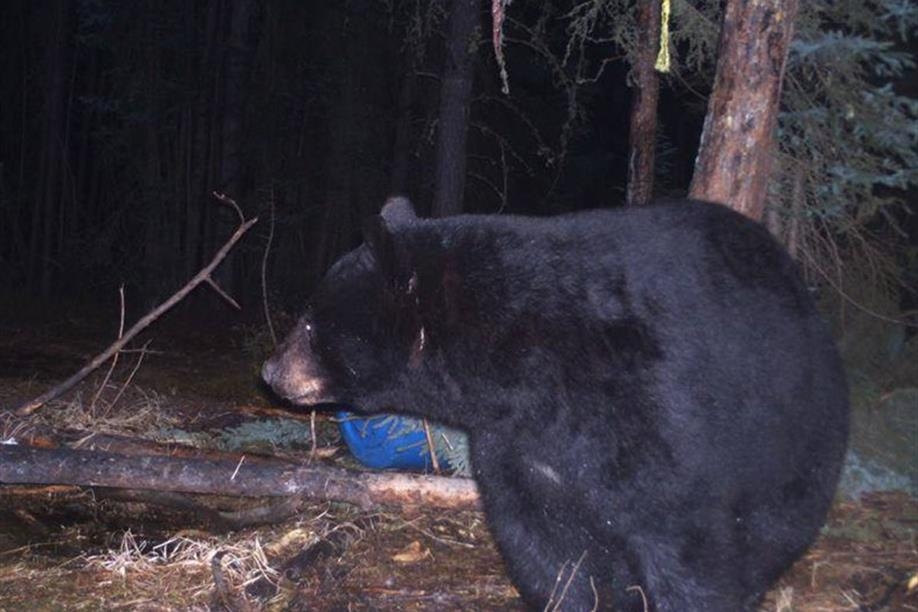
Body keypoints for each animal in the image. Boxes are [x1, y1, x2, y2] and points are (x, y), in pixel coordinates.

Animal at [261, 196, 849, 611]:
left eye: (310, 323)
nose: (269, 370)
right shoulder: (518, 445)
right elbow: (543, 543)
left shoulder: (660, 411)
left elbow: (686, 543)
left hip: (793, 430)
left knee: (774, 521)